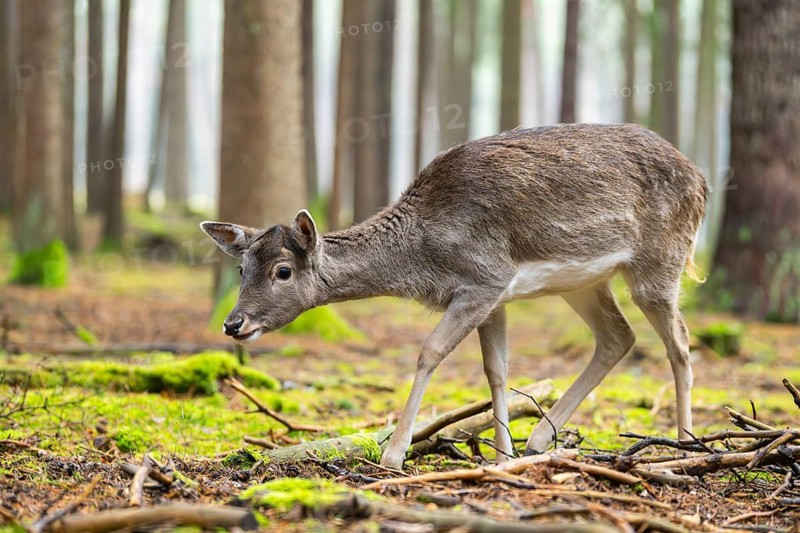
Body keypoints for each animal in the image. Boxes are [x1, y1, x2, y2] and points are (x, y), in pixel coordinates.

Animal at [202, 123, 707, 470]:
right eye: (242, 269)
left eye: (283, 271)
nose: (233, 323)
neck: (424, 255)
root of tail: (702, 179)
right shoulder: (496, 295)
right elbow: (496, 371)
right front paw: (503, 455)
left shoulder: (484, 278)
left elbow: (429, 352)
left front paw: (394, 454)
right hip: (586, 282)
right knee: (619, 337)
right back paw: (540, 440)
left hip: (661, 259)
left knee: (680, 343)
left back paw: (685, 444)